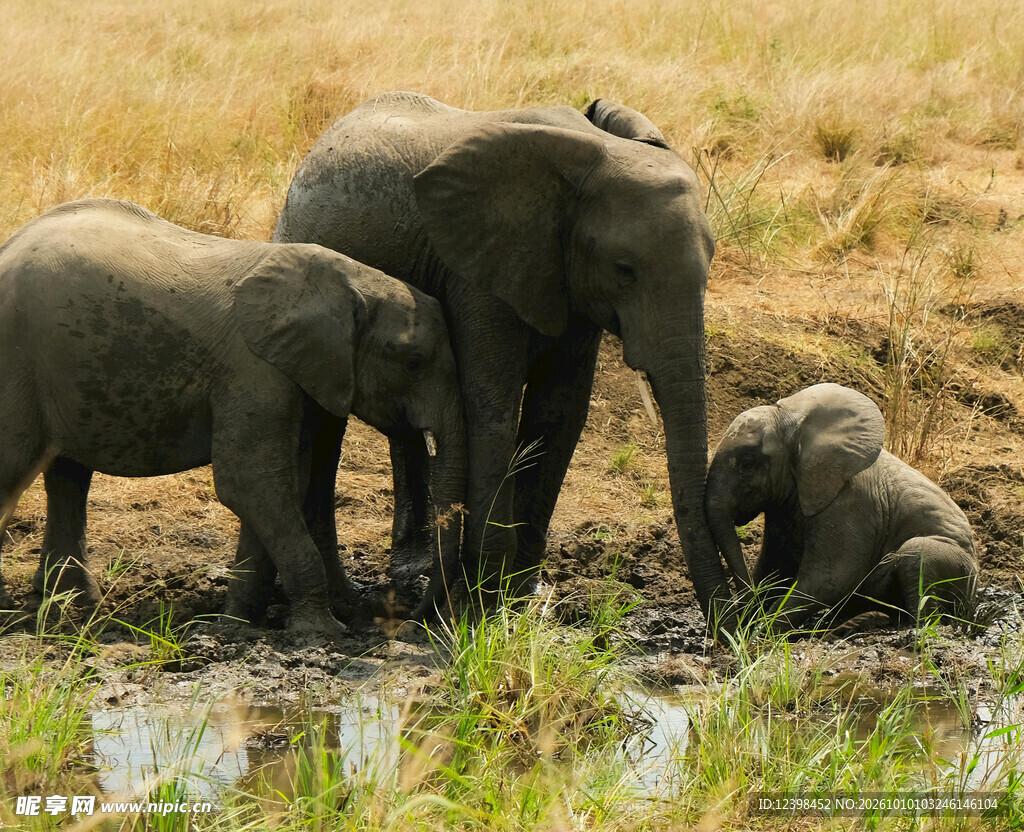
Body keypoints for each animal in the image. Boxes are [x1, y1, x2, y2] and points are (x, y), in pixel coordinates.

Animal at [0, 198, 465, 636]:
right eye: (414, 363)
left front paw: (236, 625)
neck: (351, 281)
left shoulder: (292, 375)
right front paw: (322, 633)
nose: (407, 622)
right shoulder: (254, 371)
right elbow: (251, 482)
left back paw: (75, 607)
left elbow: (281, 485)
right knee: (18, 466)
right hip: (18, 360)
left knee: (67, 477)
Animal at [272, 91, 731, 625]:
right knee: (330, 425)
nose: (731, 624)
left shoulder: (566, 280)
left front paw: (522, 595)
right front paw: (484, 602)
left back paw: (414, 569)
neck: (594, 151)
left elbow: (559, 413)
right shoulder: (477, 269)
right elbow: (493, 406)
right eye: (624, 269)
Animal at [704, 383, 978, 631]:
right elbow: (775, 567)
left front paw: (760, 634)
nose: (740, 615)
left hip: (958, 568)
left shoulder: (851, 504)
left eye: (748, 463)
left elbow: (829, 579)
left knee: (916, 554)